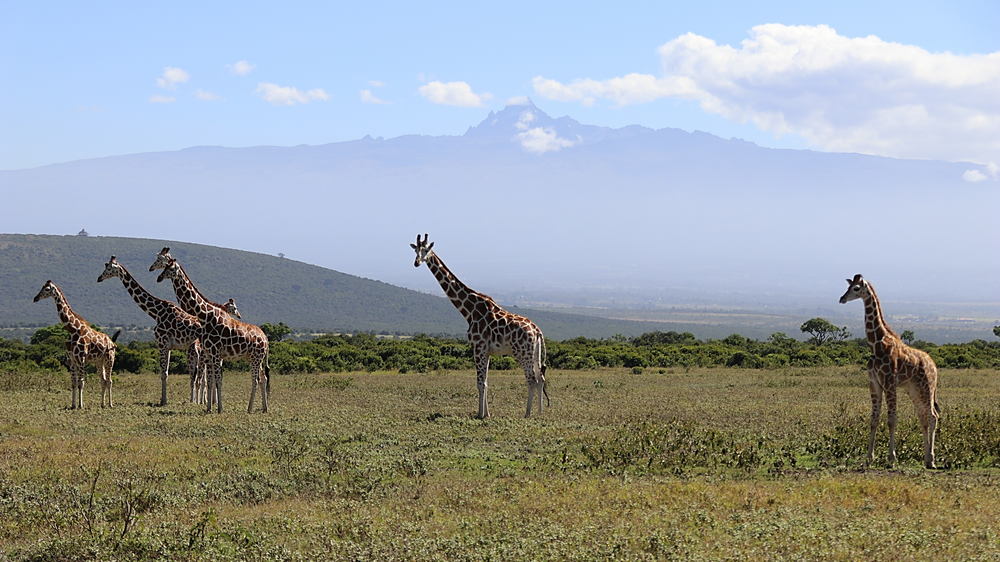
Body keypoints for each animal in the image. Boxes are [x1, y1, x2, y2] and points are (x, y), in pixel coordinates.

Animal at [33, 280, 118, 409]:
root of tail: (112, 342)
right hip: (99, 361)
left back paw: (110, 404)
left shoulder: (81, 357)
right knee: (103, 380)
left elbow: (81, 382)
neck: (73, 330)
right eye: (41, 287)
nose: (35, 298)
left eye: (47, 289)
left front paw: (80, 405)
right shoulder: (71, 358)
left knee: (109, 381)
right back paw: (102, 404)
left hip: (110, 358)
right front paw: (73, 405)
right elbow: (73, 382)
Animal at [156, 258, 270, 414]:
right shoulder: (209, 354)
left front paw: (219, 408)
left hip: (255, 358)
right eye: (164, 266)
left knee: (256, 380)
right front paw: (209, 408)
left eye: (171, 268)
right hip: (253, 357)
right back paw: (264, 408)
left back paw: (250, 408)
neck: (205, 316)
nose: (159, 277)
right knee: (263, 378)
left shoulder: (216, 353)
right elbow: (210, 381)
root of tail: (266, 340)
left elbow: (218, 380)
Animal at [411, 234, 548, 418]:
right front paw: (487, 413)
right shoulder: (486, 350)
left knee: (532, 380)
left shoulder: (478, 347)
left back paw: (527, 414)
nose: (417, 262)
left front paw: (480, 414)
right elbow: (486, 381)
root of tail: (537, 331)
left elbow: (480, 383)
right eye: (415, 250)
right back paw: (539, 412)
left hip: (522, 352)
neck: (469, 311)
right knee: (541, 379)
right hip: (534, 353)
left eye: (426, 250)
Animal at [840, 274, 939, 469]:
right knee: (923, 417)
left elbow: (892, 419)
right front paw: (869, 458)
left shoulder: (889, 382)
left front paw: (891, 459)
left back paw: (932, 460)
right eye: (848, 287)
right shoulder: (874, 383)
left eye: (856, 288)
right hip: (913, 389)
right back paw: (926, 459)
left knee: (933, 416)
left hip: (927, 387)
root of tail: (933, 364)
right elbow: (874, 419)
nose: (842, 299)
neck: (877, 345)